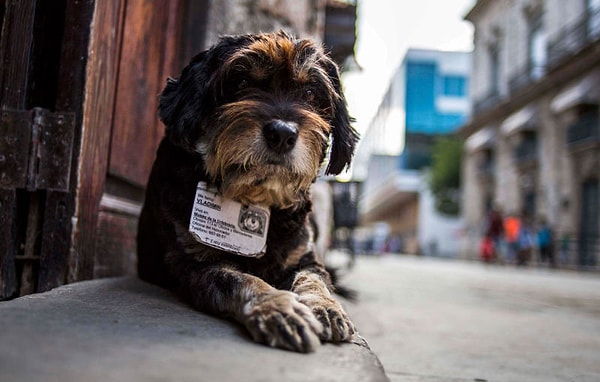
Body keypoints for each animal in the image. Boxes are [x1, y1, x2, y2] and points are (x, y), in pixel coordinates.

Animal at [138, 31, 358, 354]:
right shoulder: (194, 263)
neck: (258, 196)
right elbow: (242, 279)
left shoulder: (305, 257)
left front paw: (326, 306)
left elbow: (313, 279)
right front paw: (279, 308)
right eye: (241, 81)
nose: (282, 134)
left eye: (310, 93)